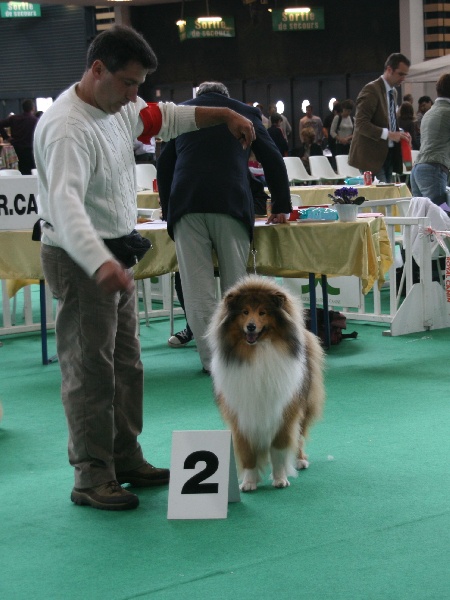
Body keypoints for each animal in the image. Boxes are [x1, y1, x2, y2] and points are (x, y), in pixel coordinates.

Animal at [207, 275, 325, 492]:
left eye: (263, 312)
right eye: (245, 312)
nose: (251, 327)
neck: (258, 352)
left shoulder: (284, 412)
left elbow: (279, 449)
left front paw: (280, 479)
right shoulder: (241, 417)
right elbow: (247, 453)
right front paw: (248, 482)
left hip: (305, 404)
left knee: (300, 435)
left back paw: (300, 460)